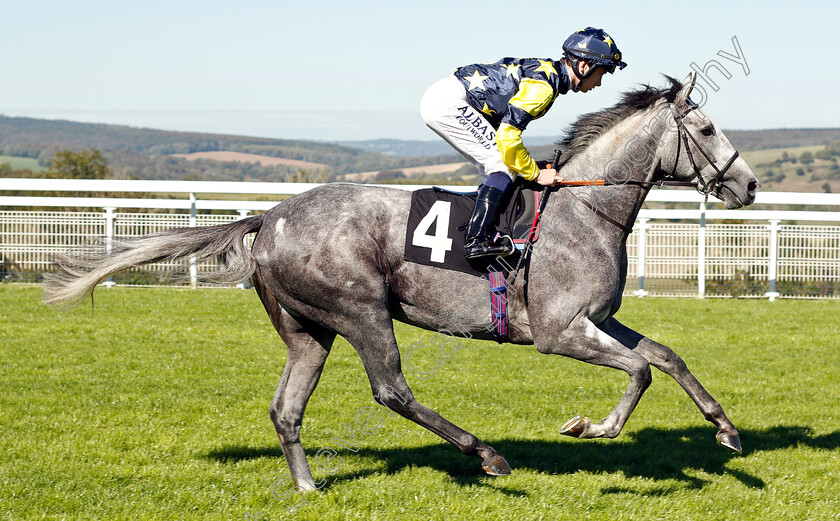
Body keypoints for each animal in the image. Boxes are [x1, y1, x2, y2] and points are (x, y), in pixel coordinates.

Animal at [42, 74, 756, 492]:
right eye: (708, 128)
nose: (747, 186)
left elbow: (665, 356)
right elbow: (639, 371)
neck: (584, 207)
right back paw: (487, 454)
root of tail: (270, 216)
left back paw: (308, 488)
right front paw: (594, 428)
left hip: (309, 332)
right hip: (362, 312)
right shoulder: (559, 332)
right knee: (390, 389)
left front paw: (726, 430)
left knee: (286, 408)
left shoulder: (597, 319)